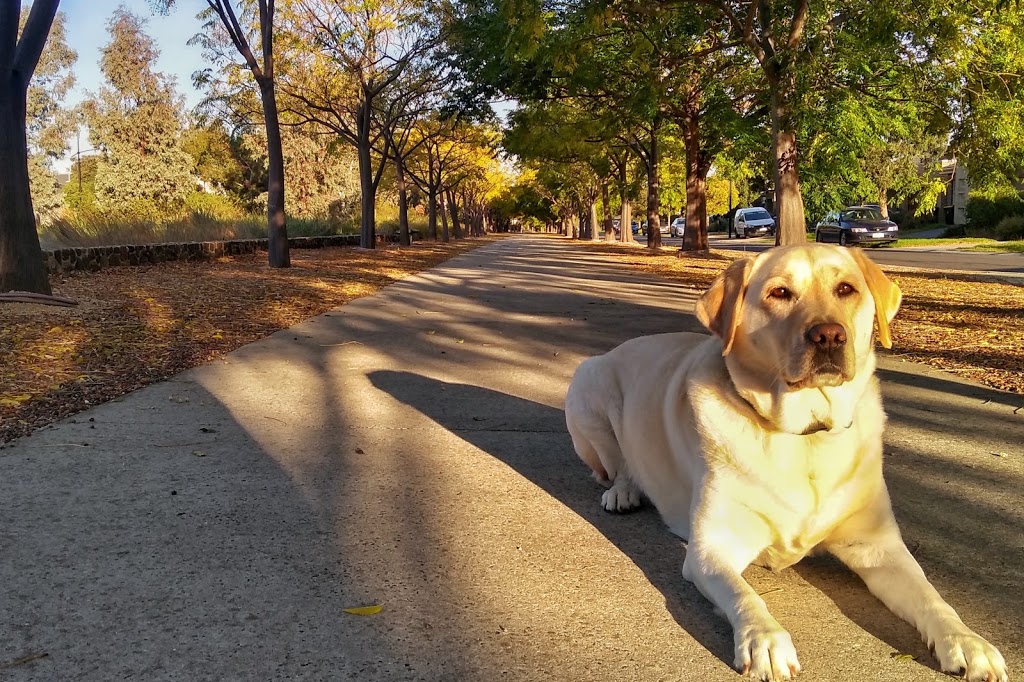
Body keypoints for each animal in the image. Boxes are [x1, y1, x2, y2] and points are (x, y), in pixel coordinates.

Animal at [569, 241, 1007, 675]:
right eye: (779, 292)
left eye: (846, 289)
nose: (829, 335)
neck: (806, 436)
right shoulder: (712, 548)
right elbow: (744, 594)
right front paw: (764, 639)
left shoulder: (877, 546)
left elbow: (932, 595)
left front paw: (968, 642)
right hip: (588, 389)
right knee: (616, 466)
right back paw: (623, 492)